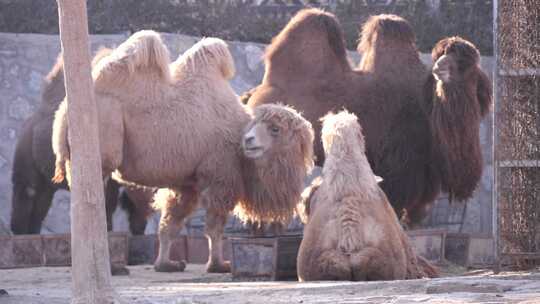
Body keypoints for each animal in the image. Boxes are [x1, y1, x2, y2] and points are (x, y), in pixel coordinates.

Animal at [9, 50, 152, 235]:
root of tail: (27, 125)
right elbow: (109, 202)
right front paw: (108, 230)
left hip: (47, 182)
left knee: (40, 203)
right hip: (28, 164)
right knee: (27, 193)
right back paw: (19, 230)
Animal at [52, 30, 314, 274]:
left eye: (275, 129)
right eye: (267, 128)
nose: (249, 141)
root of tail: (64, 110)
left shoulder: (187, 185)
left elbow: (171, 223)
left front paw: (165, 264)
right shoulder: (219, 173)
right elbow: (215, 226)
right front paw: (218, 265)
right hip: (105, 128)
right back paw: (114, 268)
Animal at [243, 7, 492, 226]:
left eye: (464, 63)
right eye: (442, 55)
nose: (439, 67)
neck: (429, 104)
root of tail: (252, 94)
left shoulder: (422, 172)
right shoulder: (401, 164)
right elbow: (394, 200)